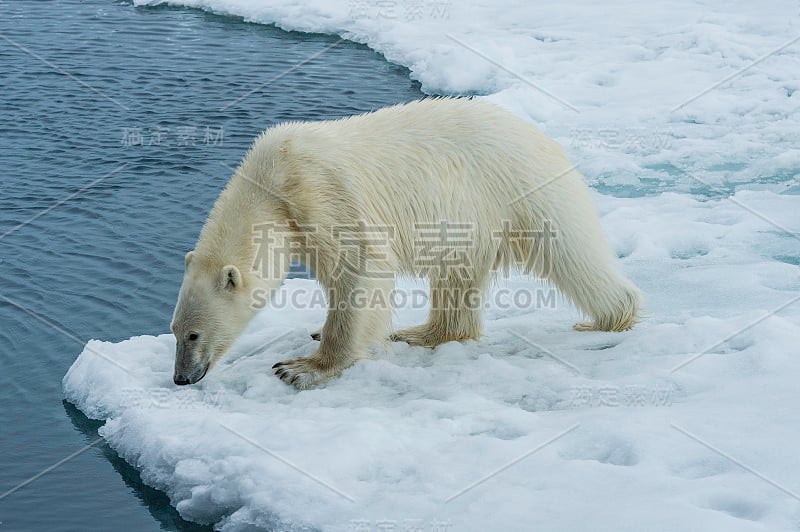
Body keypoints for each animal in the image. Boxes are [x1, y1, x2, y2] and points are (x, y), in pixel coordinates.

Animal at [170, 97, 644, 388]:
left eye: (193, 335)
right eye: (174, 331)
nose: (181, 378)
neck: (272, 180)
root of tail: (546, 140)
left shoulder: (322, 195)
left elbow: (361, 268)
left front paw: (302, 367)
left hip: (524, 191)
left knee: (573, 254)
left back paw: (608, 318)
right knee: (457, 278)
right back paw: (418, 333)